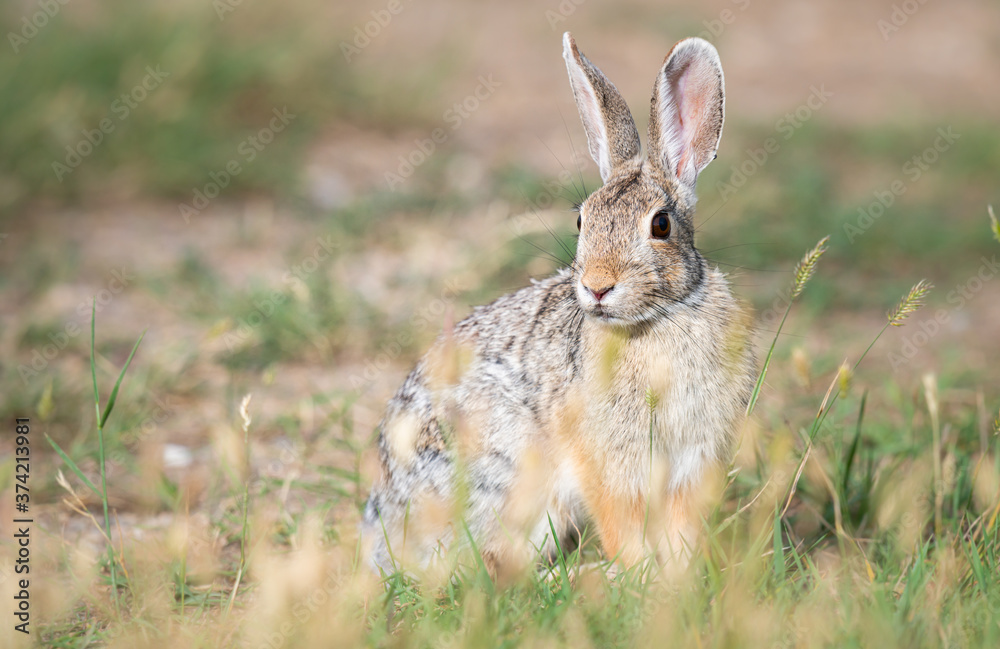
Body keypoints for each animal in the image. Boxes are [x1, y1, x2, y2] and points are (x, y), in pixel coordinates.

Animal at [361, 32, 756, 577]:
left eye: (660, 225)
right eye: (581, 220)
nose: (597, 287)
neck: (656, 322)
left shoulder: (691, 462)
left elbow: (680, 531)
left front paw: (678, 579)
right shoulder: (607, 463)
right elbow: (622, 524)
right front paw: (637, 576)